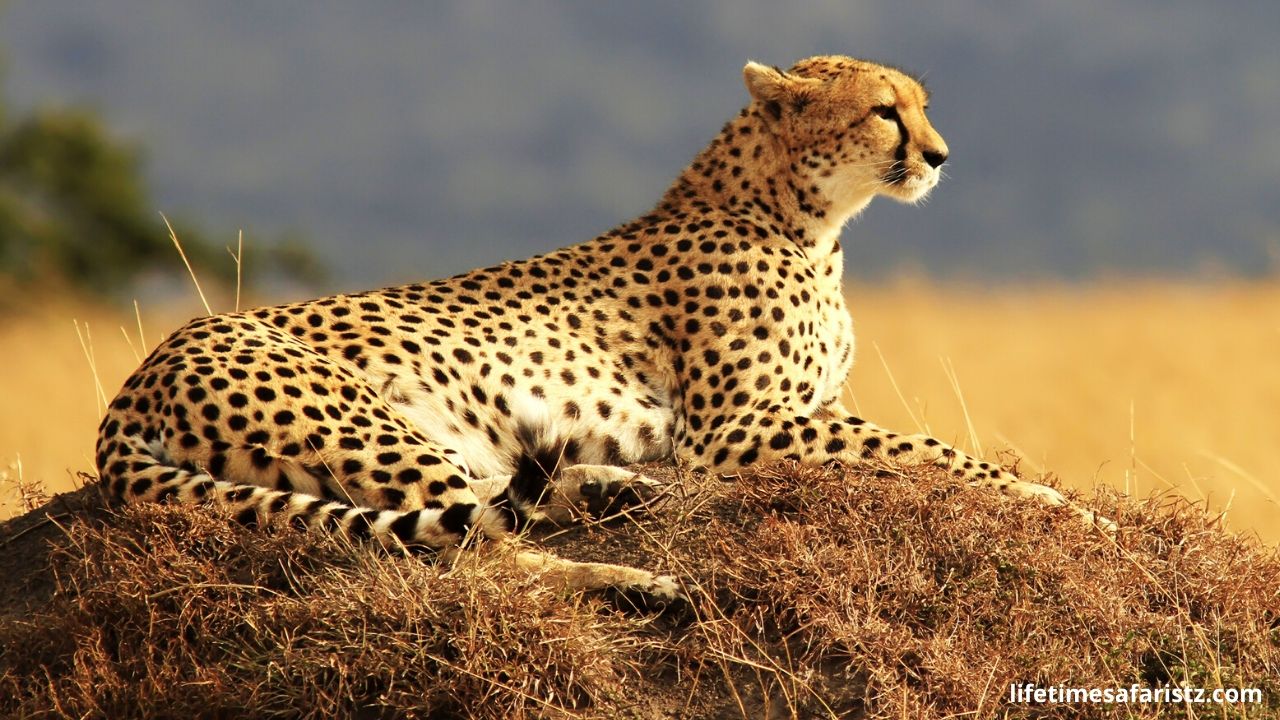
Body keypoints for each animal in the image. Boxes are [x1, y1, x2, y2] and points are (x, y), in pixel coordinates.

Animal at [96, 55, 1112, 606]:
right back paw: (632, 578)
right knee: (472, 554)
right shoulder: (737, 429)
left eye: (924, 106)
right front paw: (1065, 507)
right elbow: (929, 449)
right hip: (366, 425)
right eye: (884, 111)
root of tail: (139, 375)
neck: (805, 217)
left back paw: (616, 494)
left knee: (496, 502)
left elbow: (918, 446)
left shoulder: (789, 414)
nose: (940, 155)